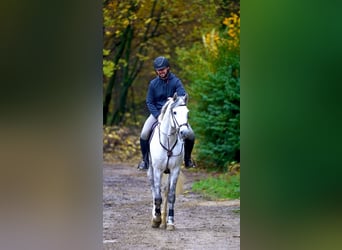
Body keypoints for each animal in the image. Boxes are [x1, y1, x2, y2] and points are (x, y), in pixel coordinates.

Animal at [147, 92, 190, 230]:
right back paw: (155, 217)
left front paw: (170, 222)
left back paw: (164, 222)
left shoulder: (175, 170)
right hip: (151, 171)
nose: (184, 132)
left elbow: (171, 196)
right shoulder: (157, 170)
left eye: (187, 112)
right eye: (174, 112)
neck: (168, 141)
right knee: (154, 191)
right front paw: (156, 219)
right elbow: (157, 197)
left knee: (165, 192)